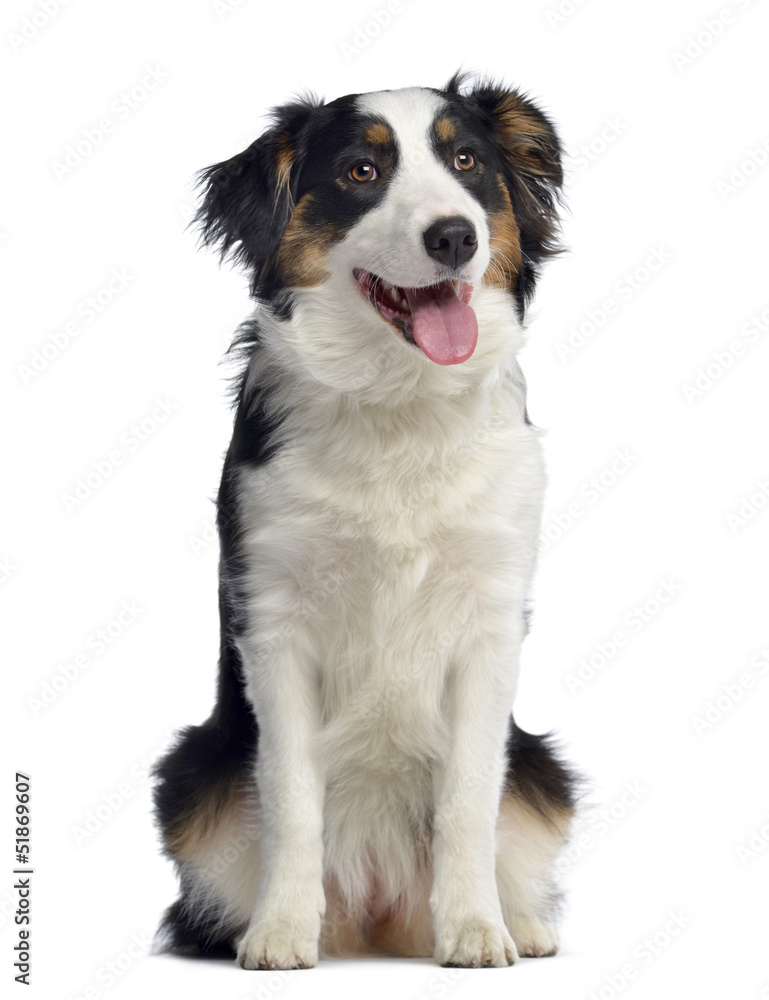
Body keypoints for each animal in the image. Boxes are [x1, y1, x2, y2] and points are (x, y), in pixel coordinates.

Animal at [153, 76, 576, 968]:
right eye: (360, 171)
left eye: (465, 162)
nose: (454, 236)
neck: (399, 399)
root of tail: (377, 912)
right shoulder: (274, 619)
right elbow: (290, 795)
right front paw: (280, 932)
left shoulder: (489, 621)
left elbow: (467, 798)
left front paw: (476, 930)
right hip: (192, 775)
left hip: (542, 771)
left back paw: (518, 923)